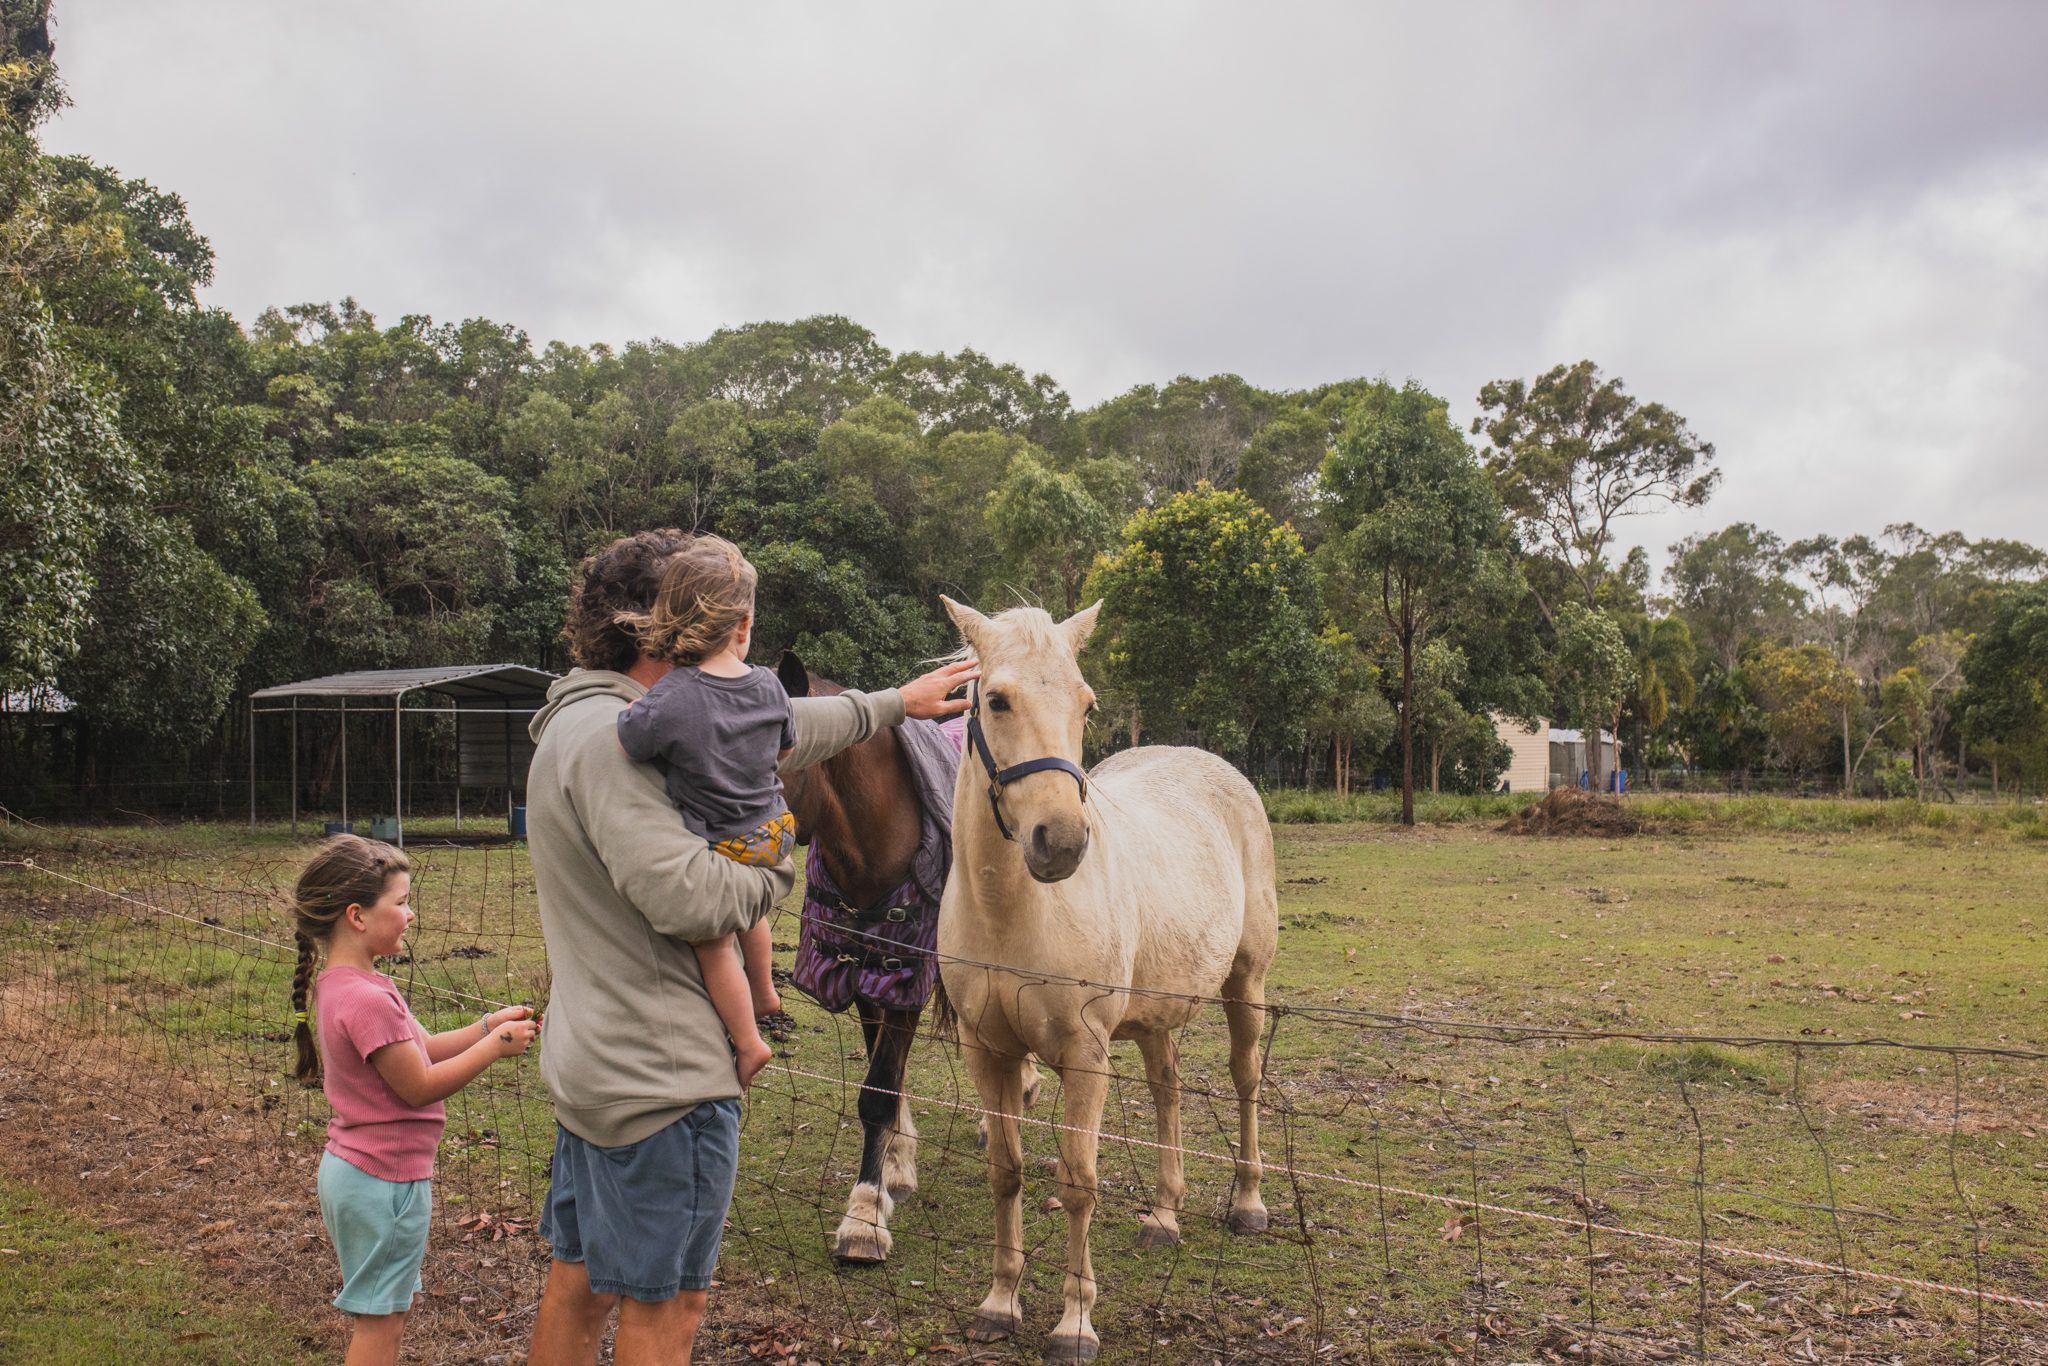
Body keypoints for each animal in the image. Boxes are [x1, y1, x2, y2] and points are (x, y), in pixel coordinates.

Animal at [935, 598, 1279, 1364]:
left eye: (1086, 704)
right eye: (996, 699)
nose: (1061, 843)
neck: (1011, 913)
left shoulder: (1084, 1056)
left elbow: (1078, 1183)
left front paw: (1074, 1322)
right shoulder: (987, 1051)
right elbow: (1007, 1171)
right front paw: (999, 1303)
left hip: (1246, 984)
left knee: (1245, 1080)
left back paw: (1247, 1203)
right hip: (1154, 1014)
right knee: (1167, 1091)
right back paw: (1164, 1215)